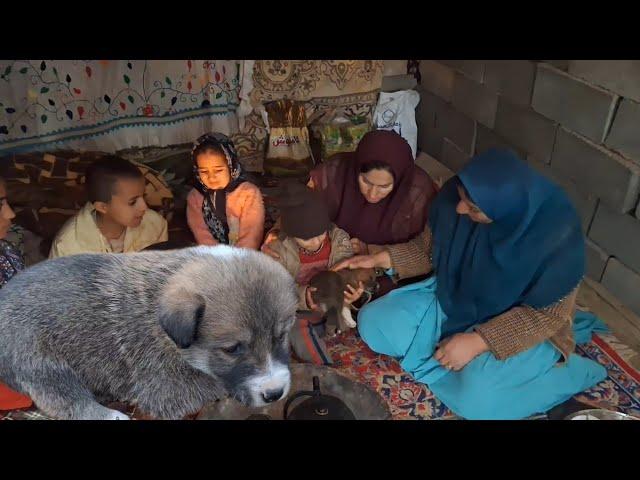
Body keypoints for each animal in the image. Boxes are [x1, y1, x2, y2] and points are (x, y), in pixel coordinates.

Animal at [0, 248, 298, 420]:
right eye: (232, 349)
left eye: (281, 336)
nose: (274, 393)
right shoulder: (171, 388)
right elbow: (215, 385)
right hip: (40, 363)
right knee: (65, 399)